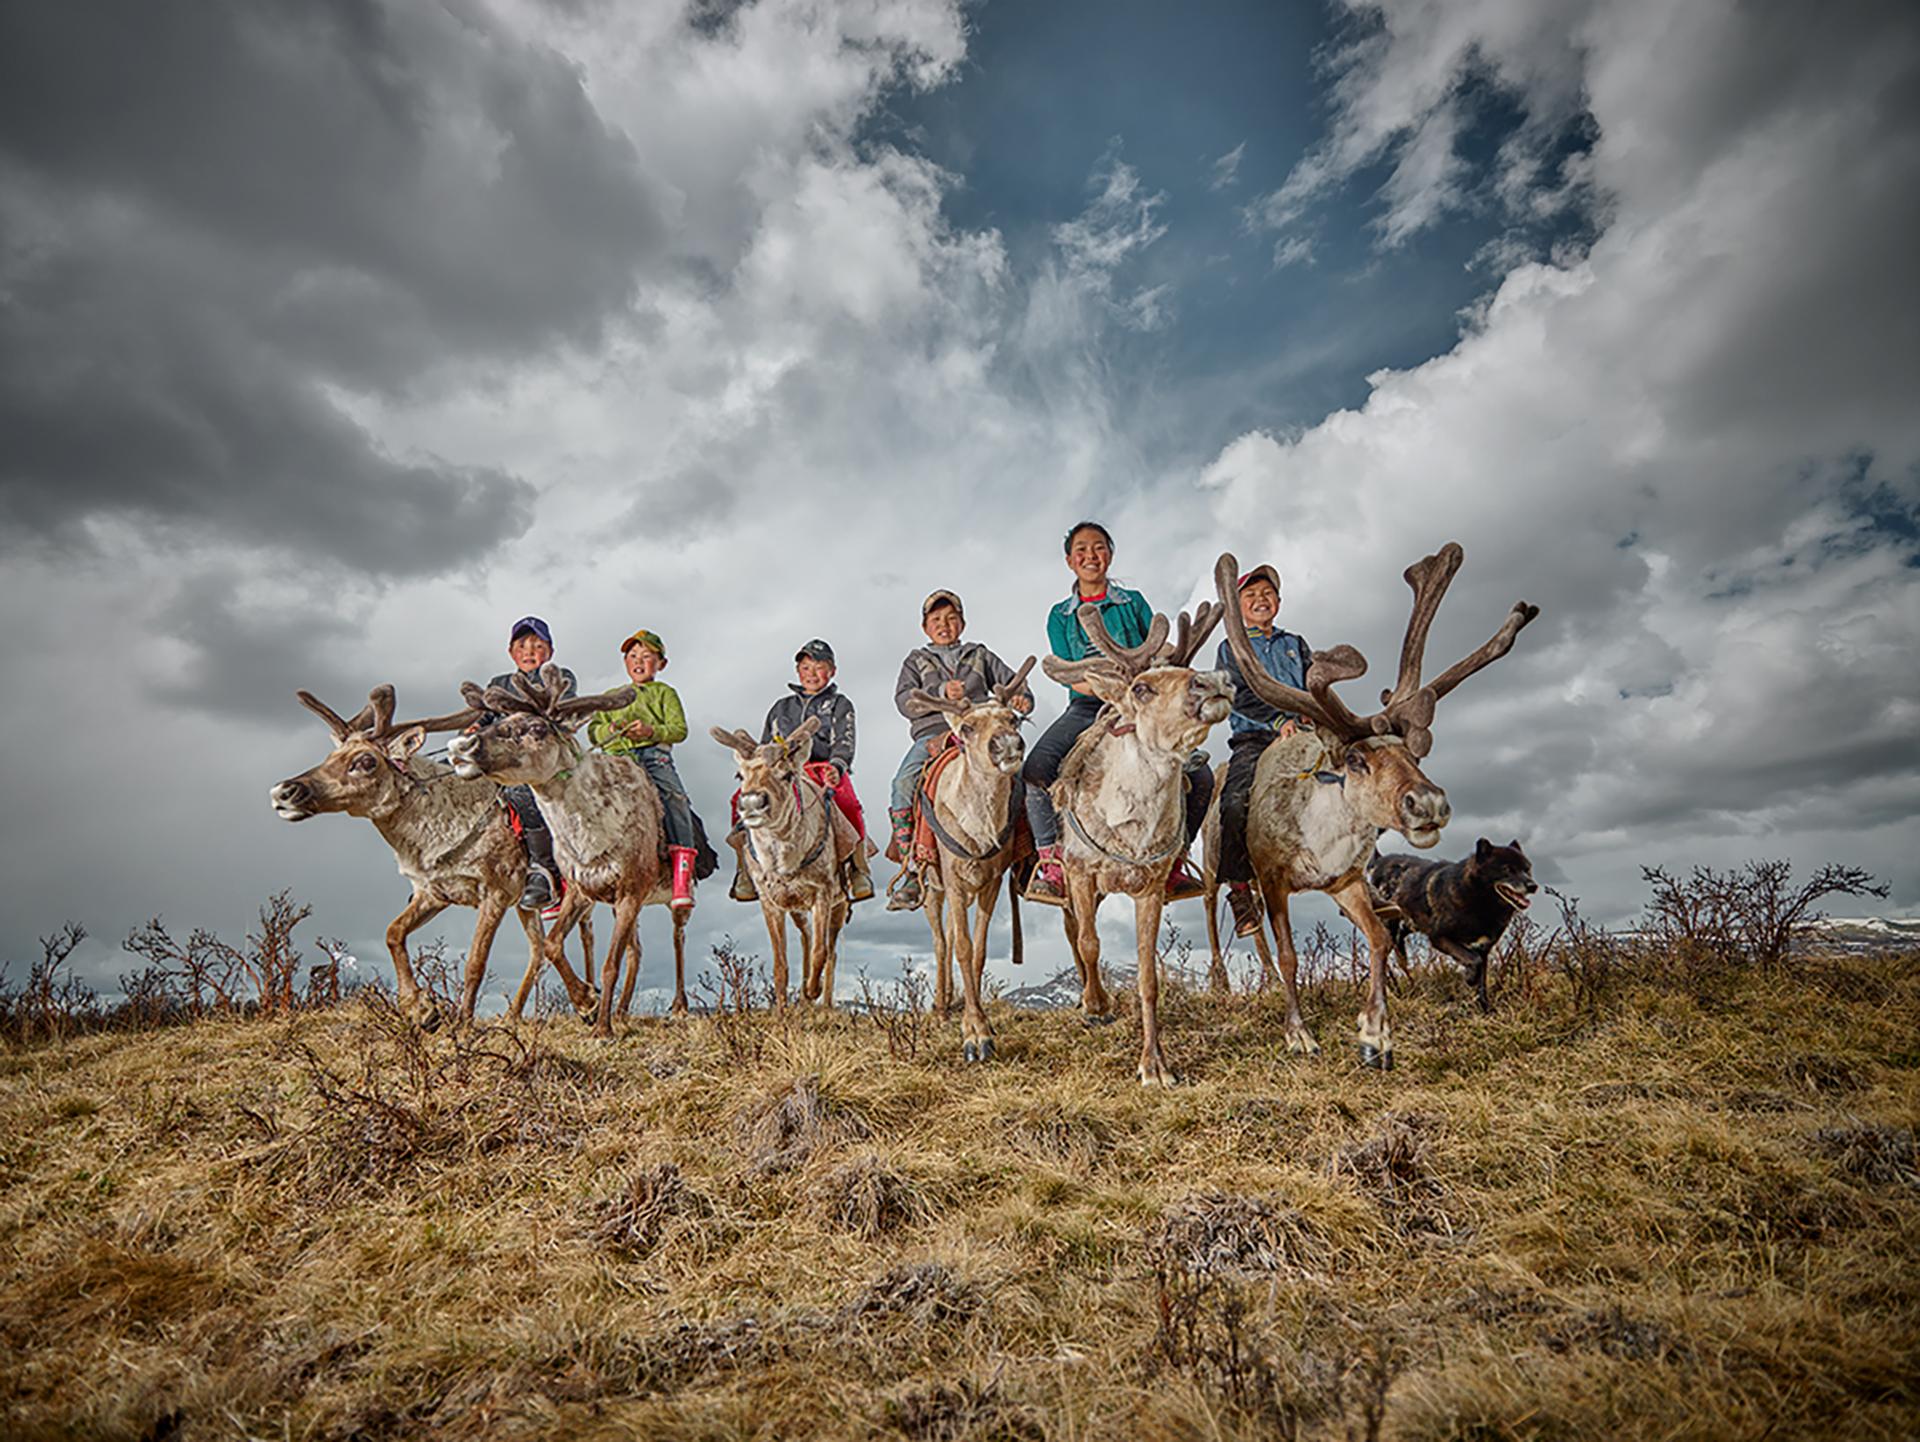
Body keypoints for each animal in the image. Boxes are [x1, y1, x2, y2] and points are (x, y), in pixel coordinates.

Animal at [1367, 841, 1543, 1006]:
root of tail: (1380, 859)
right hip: (1389, 933)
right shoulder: (1439, 938)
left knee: (1403, 963)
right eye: (1507, 869)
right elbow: (1473, 961)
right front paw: (1470, 978)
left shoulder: (1484, 948)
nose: (1533, 886)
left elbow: (1482, 981)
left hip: (1403, 932)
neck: (1480, 902)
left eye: (1527, 869)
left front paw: (1485, 1008)